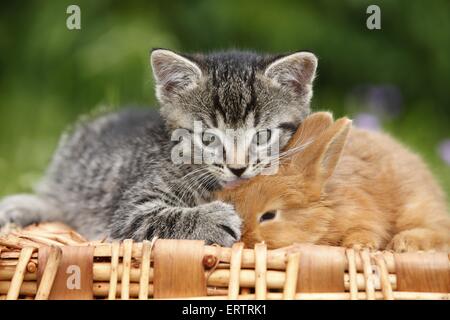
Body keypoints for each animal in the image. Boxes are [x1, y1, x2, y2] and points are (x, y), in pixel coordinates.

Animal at [0, 48, 316, 246]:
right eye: (208, 138)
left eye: (262, 136)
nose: (237, 168)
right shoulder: (129, 213)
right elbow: (159, 218)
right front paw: (212, 219)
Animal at [216, 111, 448, 251]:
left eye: (269, 216)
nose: (240, 239)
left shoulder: (364, 213)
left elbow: (367, 230)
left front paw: (359, 246)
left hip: (417, 207)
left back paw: (403, 243)